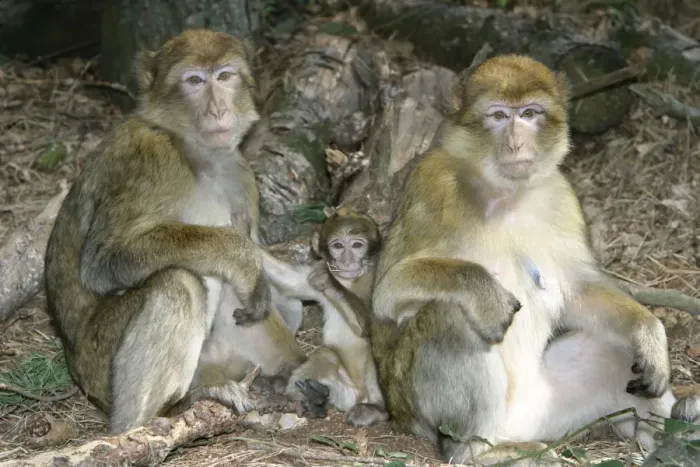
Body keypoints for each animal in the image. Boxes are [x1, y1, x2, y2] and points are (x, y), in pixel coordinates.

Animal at [44, 29, 316, 434]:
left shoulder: (240, 174)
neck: (195, 155)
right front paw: (240, 257)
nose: (218, 110)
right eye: (194, 81)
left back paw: (287, 372)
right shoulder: (147, 157)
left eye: (224, 76)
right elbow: (103, 261)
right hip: (100, 366)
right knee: (179, 282)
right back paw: (164, 413)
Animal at [284, 212, 389, 427]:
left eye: (357, 245)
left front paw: (330, 281)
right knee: (326, 355)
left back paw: (376, 409)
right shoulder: (311, 274)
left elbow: (372, 326)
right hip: (344, 393)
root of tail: (359, 394)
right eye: (338, 246)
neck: (351, 281)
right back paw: (314, 398)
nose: (347, 261)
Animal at [368, 54, 700, 465]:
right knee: (450, 315)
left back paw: (675, 428)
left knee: (608, 349)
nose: (515, 142)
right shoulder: (433, 184)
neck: (503, 192)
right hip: (422, 411)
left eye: (529, 113)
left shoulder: (561, 196)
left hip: (545, 409)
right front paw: (483, 292)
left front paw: (649, 332)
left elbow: (578, 293)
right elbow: (386, 294)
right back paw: (476, 450)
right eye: (498, 116)